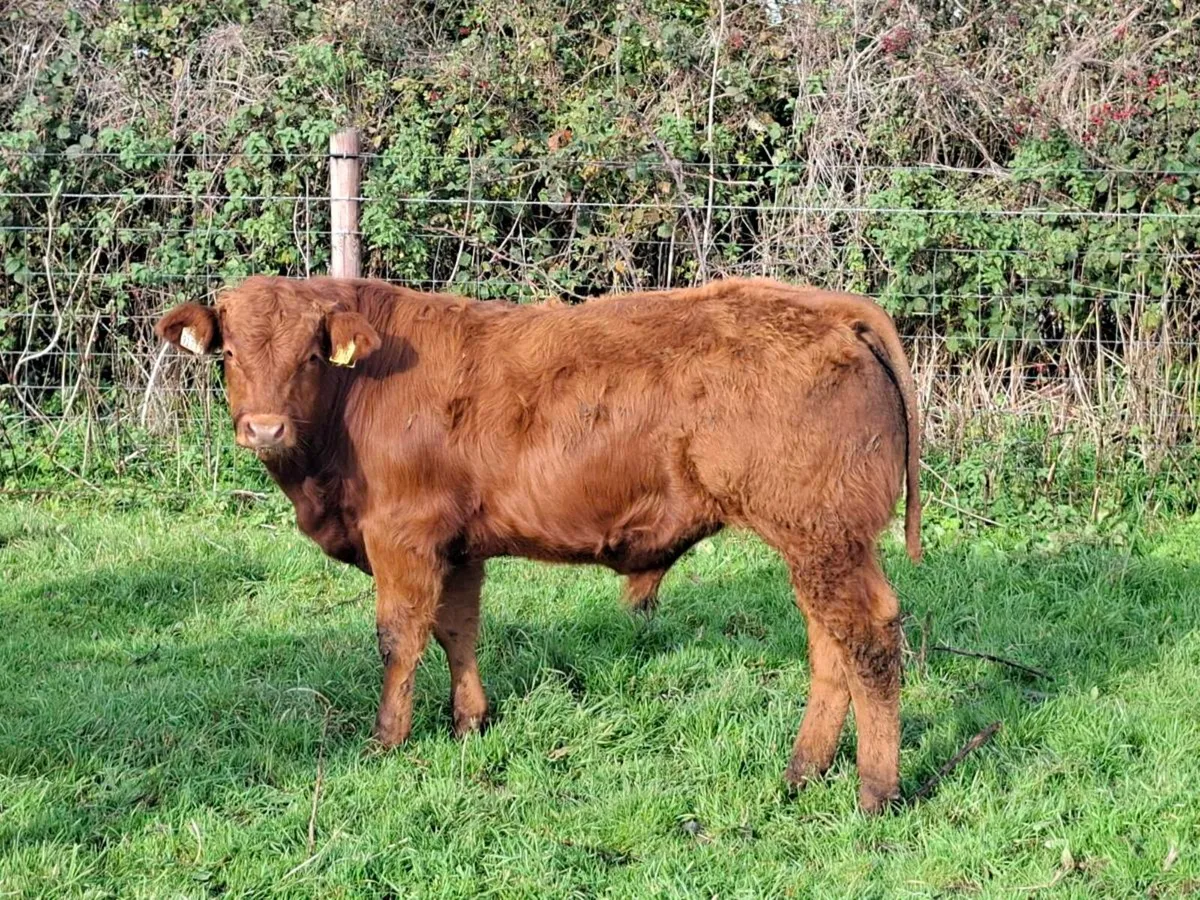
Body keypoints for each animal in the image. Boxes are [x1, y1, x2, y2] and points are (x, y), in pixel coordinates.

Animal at [155, 275, 921, 813]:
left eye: (311, 355)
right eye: (229, 352)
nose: (264, 428)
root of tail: (827, 307)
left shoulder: (402, 537)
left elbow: (399, 637)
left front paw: (388, 739)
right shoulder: (459, 547)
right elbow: (457, 630)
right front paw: (470, 721)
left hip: (823, 535)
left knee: (868, 639)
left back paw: (874, 792)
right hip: (819, 543)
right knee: (829, 645)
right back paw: (803, 771)